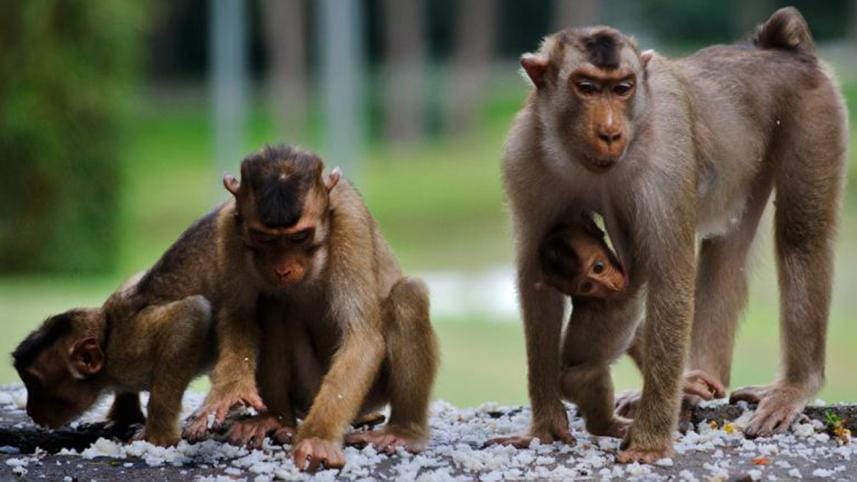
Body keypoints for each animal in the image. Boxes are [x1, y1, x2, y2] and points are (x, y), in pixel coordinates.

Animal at [13, 275, 214, 447]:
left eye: (34, 383)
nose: (29, 411)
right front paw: (122, 418)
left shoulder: (128, 350)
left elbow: (190, 315)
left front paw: (158, 435)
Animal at [212, 146, 439, 472]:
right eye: (264, 238)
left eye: (299, 236)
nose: (283, 269)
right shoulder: (228, 227)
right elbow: (238, 316)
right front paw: (232, 387)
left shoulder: (350, 222)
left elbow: (361, 337)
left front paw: (317, 439)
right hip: (309, 390)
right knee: (273, 305)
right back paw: (277, 419)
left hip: (366, 393)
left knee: (409, 296)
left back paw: (405, 431)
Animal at [496, 7, 846, 463]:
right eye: (586, 88)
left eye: (622, 88)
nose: (610, 132)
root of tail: (780, 50)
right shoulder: (524, 158)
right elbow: (537, 285)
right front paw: (546, 428)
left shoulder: (665, 163)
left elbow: (666, 276)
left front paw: (650, 443)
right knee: (727, 250)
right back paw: (699, 378)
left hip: (815, 114)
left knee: (800, 238)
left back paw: (793, 386)